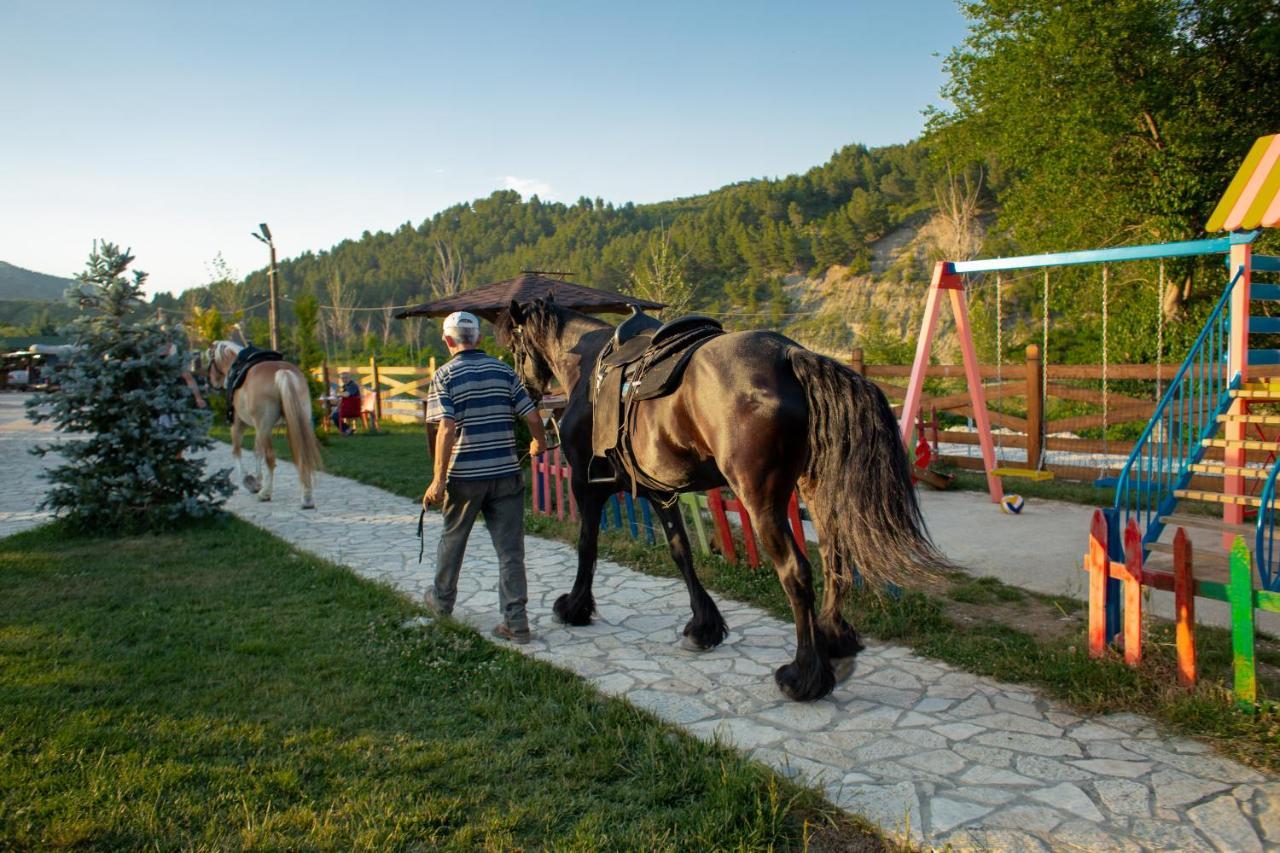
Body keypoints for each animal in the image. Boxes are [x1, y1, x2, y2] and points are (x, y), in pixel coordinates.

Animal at [206, 343, 322, 507]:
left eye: (210, 362)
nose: (212, 383)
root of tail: (282, 372)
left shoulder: (238, 424)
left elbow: (236, 451)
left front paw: (248, 481)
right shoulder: (258, 428)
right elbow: (257, 451)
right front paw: (257, 480)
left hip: (265, 427)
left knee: (270, 458)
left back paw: (266, 493)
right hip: (296, 421)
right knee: (302, 455)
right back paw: (306, 497)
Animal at [499, 297, 952, 696]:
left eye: (515, 348)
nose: (526, 391)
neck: (590, 365)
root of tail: (790, 355)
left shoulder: (585, 484)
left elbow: (587, 546)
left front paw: (575, 607)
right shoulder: (660, 492)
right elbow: (681, 552)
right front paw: (705, 625)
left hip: (761, 499)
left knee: (796, 571)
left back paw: (805, 674)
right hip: (815, 491)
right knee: (834, 558)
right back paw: (834, 639)